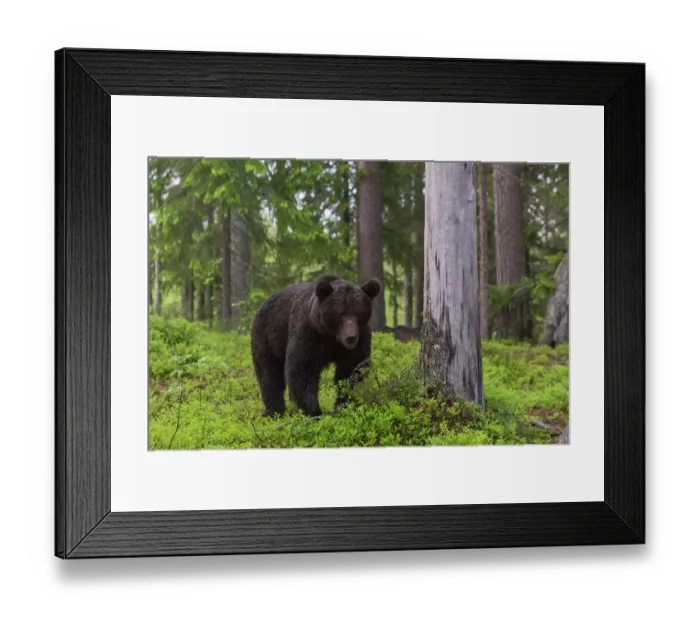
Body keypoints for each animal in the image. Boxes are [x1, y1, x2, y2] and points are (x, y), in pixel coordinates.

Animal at [250, 274, 382, 418]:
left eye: (358, 314)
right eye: (341, 313)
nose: (351, 337)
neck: (331, 335)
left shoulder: (359, 339)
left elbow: (353, 369)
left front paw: (345, 402)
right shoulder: (309, 334)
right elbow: (302, 370)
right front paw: (313, 411)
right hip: (267, 337)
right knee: (268, 372)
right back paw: (274, 411)